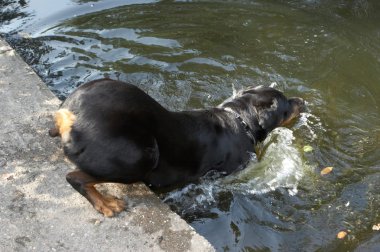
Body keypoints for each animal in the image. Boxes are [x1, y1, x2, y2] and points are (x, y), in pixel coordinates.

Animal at [49, 79, 306, 217]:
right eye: (286, 103)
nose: (302, 101)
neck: (240, 119)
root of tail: (68, 115)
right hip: (141, 156)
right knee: (75, 177)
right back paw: (106, 204)